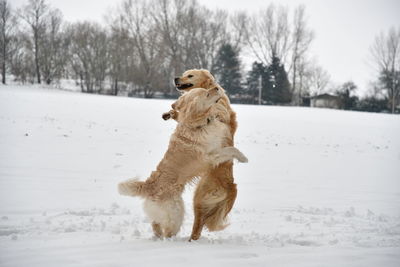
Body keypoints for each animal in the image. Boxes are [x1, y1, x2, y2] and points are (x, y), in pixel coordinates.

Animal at [118, 87, 247, 239]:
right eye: (206, 94)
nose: (217, 88)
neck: (198, 124)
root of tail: (149, 186)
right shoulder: (210, 156)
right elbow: (231, 149)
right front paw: (243, 158)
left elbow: (229, 147)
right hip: (176, 213)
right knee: (168, 231)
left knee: (156, 224)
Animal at [163, 68, 239, 241]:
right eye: (184, 73)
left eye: (190, 75)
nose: (176, 78)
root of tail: (231, 187)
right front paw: (169, 113)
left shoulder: (220, 111)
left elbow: (215, 113)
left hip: (200, 197)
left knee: (198, 227)